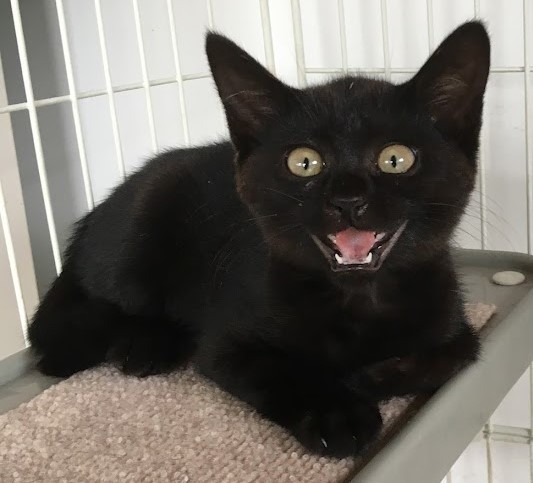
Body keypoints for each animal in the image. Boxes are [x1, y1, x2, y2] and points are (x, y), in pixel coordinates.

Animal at [28, 21, 490, 458]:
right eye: (304, 162)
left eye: (396, 159)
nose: (347, 199)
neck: (358, 302)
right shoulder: (226, 343)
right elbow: (281, 369)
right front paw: (337, 413)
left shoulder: (456, 328)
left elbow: (446, 357)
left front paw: (362, 378)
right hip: (140, 233)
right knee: (93, 312)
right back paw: (146, 343)